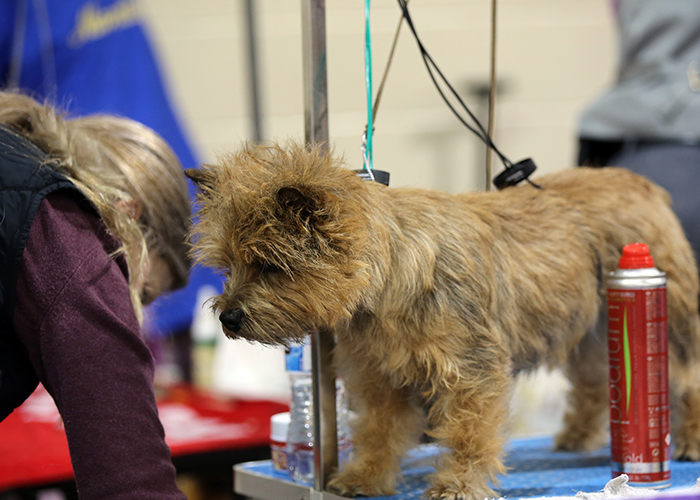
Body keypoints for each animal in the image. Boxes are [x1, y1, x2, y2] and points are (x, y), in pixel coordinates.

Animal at [185, 141, 700, 500]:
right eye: (228, 265)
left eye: (271, 266)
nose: (229, 317)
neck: (388, 280)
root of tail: (642, 186)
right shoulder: (380, 379)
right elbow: (377, 432)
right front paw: (365, 476)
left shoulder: (473, 374)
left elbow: (471, 434)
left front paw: (459, 483)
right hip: (594, 331)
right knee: (595, 382)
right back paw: (575, 437)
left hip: (669, 322)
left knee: (686, 377)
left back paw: (688, 440)